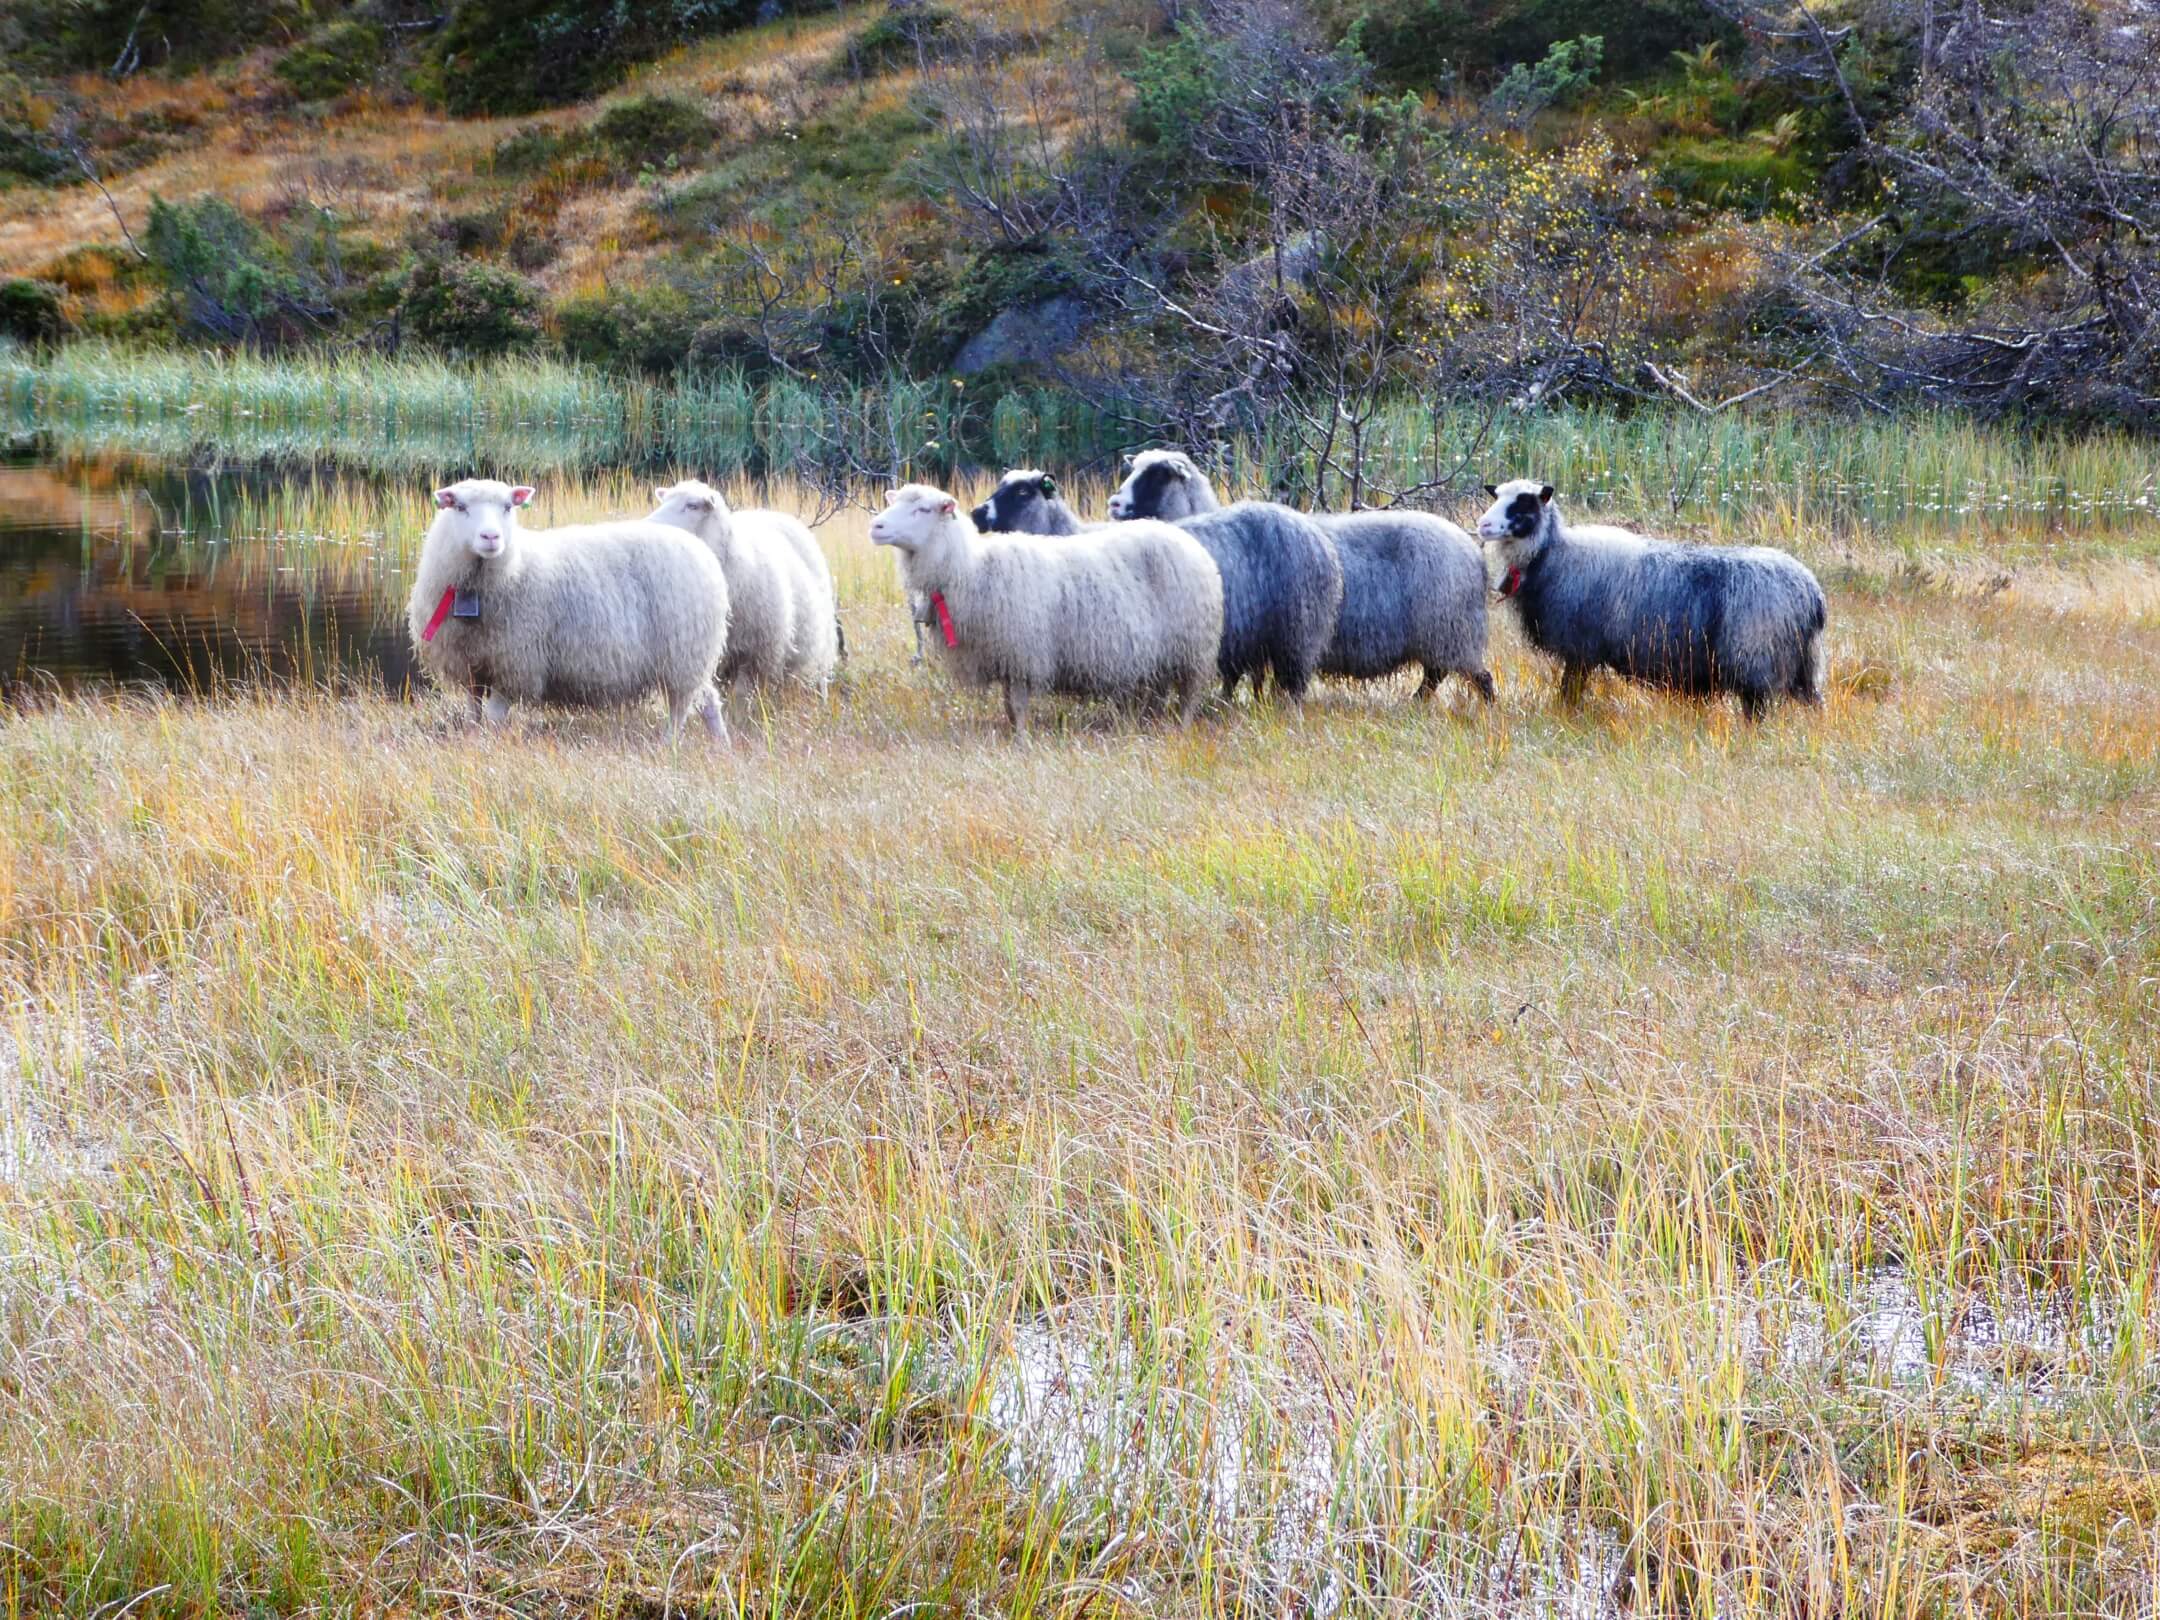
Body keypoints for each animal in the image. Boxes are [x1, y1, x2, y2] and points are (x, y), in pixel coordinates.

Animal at [406, 477, 730, 742]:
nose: (490, 538)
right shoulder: (473, 664)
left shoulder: (515, 664)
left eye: (508, 507)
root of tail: (698, 546)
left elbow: (494, 718)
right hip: (691, 654)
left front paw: (489, 745)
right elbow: (473, 713)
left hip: (683, 652)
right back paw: (721, 745)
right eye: (460, 507)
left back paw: (669, 744)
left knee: (680, 706)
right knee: (708, 699)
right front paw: (472, 740)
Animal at [869, 482, 1225, 732]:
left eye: (923, 510)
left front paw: (1022, 741)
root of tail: (1191, 545)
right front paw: (1014, 733)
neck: (969, 569)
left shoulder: (1023, 653)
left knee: (1189, 696)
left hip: (1192, 647)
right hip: (1160, 653)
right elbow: (1008, 706)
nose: (876, 527)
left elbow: (1018, 705)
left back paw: (1179, 729)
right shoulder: (1006, 656)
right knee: (1160, 691)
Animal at [1475, 479, 1827, 719]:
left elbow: (1569, 690)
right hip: (1803, 661)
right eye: (1497, 496)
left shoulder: (1581, 646)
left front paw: (1566, 714)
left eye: (1523, 504)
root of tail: (1811, 593)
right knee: (1813, 702)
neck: (1553, 554)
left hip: (1755, 655)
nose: (1483, 525)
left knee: (1757, 706)